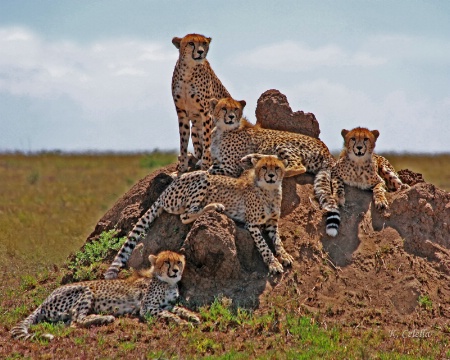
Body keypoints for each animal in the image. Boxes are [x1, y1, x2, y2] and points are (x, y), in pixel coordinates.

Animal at [9, 250, 200, 340]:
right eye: (166, 262)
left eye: (179, 262)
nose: (175, 271)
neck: (167, 283)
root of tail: (44, 300)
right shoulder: (147, 308)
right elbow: (169, 313)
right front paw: (183, 323)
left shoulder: (167, 304)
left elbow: (178, 308)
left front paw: (193, 316)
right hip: (85, 290)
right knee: (77, 320)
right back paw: (105, 318)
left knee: (70, 323)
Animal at [105, 153, 294, 278]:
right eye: (264, 167)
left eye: (277, 167)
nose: (271, 176)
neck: (270, 191)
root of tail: (166, 190)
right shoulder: (252, 224)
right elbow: (264, 245)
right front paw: (274, 264)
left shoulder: (272, 223)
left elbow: (277, 241)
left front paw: (284, 255)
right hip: (202, 177)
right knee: (186, 214)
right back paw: (215, 206)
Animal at [172, 33, 232, 173]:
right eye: (191, 43)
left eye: (204, 43)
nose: (200, 52)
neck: (188, 70)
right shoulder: (181, 113)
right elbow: (183, 141)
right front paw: (182, 166)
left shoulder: (206, 113)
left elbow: (207, 140)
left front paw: (205, 164)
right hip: (194, 128)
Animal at [209, 97, 340, 238]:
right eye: (224, 108)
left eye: (236, 109)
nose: (232, 117)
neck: (222, 129)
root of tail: (327, 150)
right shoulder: (220, 163)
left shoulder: (230, 167)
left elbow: (208, 171)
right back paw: (252, 159)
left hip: (280, 142)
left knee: (296, 166)